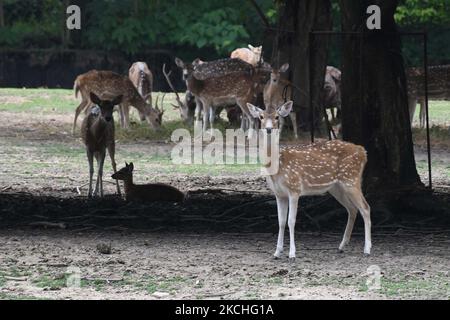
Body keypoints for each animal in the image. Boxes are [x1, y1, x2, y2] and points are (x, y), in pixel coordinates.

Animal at [248, 101, 370, 262]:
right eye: (261, 117)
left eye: (276, 117)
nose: (268, 129)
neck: (277, 167)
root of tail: (363, 151)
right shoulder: (279, 194)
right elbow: (281, 222)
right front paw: (277, 252)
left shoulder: (294, 188)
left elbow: (291, 221)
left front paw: (292, 254)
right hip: (336, 187)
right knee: (352, 209)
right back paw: (342, 246)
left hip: (351, 179)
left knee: (365, 208)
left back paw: (367, 249)